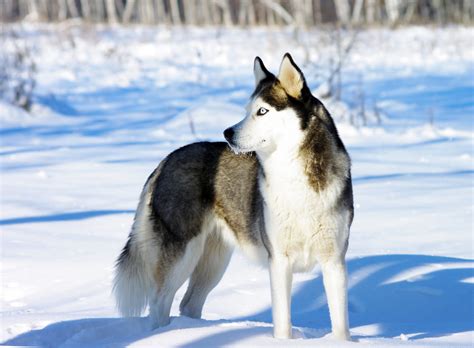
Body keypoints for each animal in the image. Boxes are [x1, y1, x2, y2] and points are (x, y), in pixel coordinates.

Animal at [114, 53, 352, 340]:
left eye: (262, 111)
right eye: (247, 110)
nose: (227, 133)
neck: (295, 181)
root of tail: (167, 159)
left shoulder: (334, 261)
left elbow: (340, 324)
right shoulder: (278, 260)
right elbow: (283, 323)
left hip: (214, 261)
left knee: (188, 303)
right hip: (182, 254)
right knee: (159, 303)